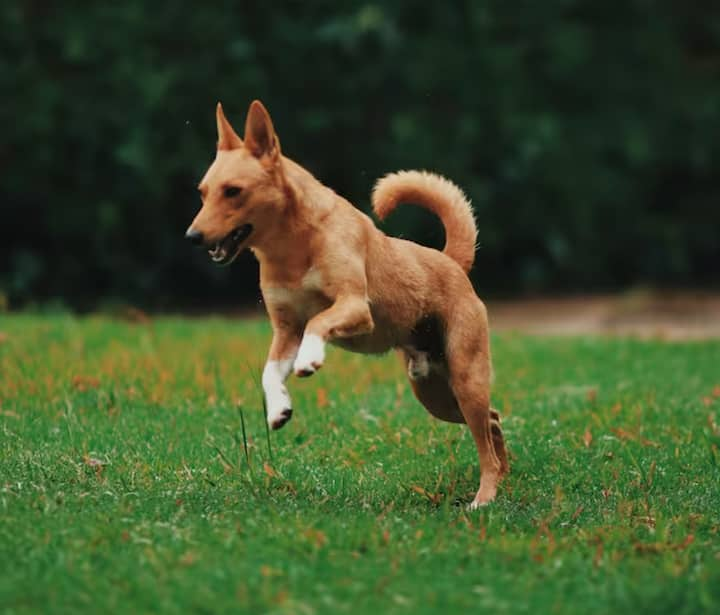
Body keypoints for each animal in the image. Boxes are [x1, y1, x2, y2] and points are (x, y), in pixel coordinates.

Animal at [187, 100, 512, 506]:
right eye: (203, 192)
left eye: (233, 191)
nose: (192, 236)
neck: (292, 247)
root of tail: (450, 261)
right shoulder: (285, 331)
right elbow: (268, 371)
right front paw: (278, 408)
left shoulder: (355, 306)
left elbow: (318, 322)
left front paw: (310, 358)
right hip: (434, 392)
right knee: (493, 423)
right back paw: (504, 479)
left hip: (466, 377)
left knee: (485, 438)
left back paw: (484, 497)